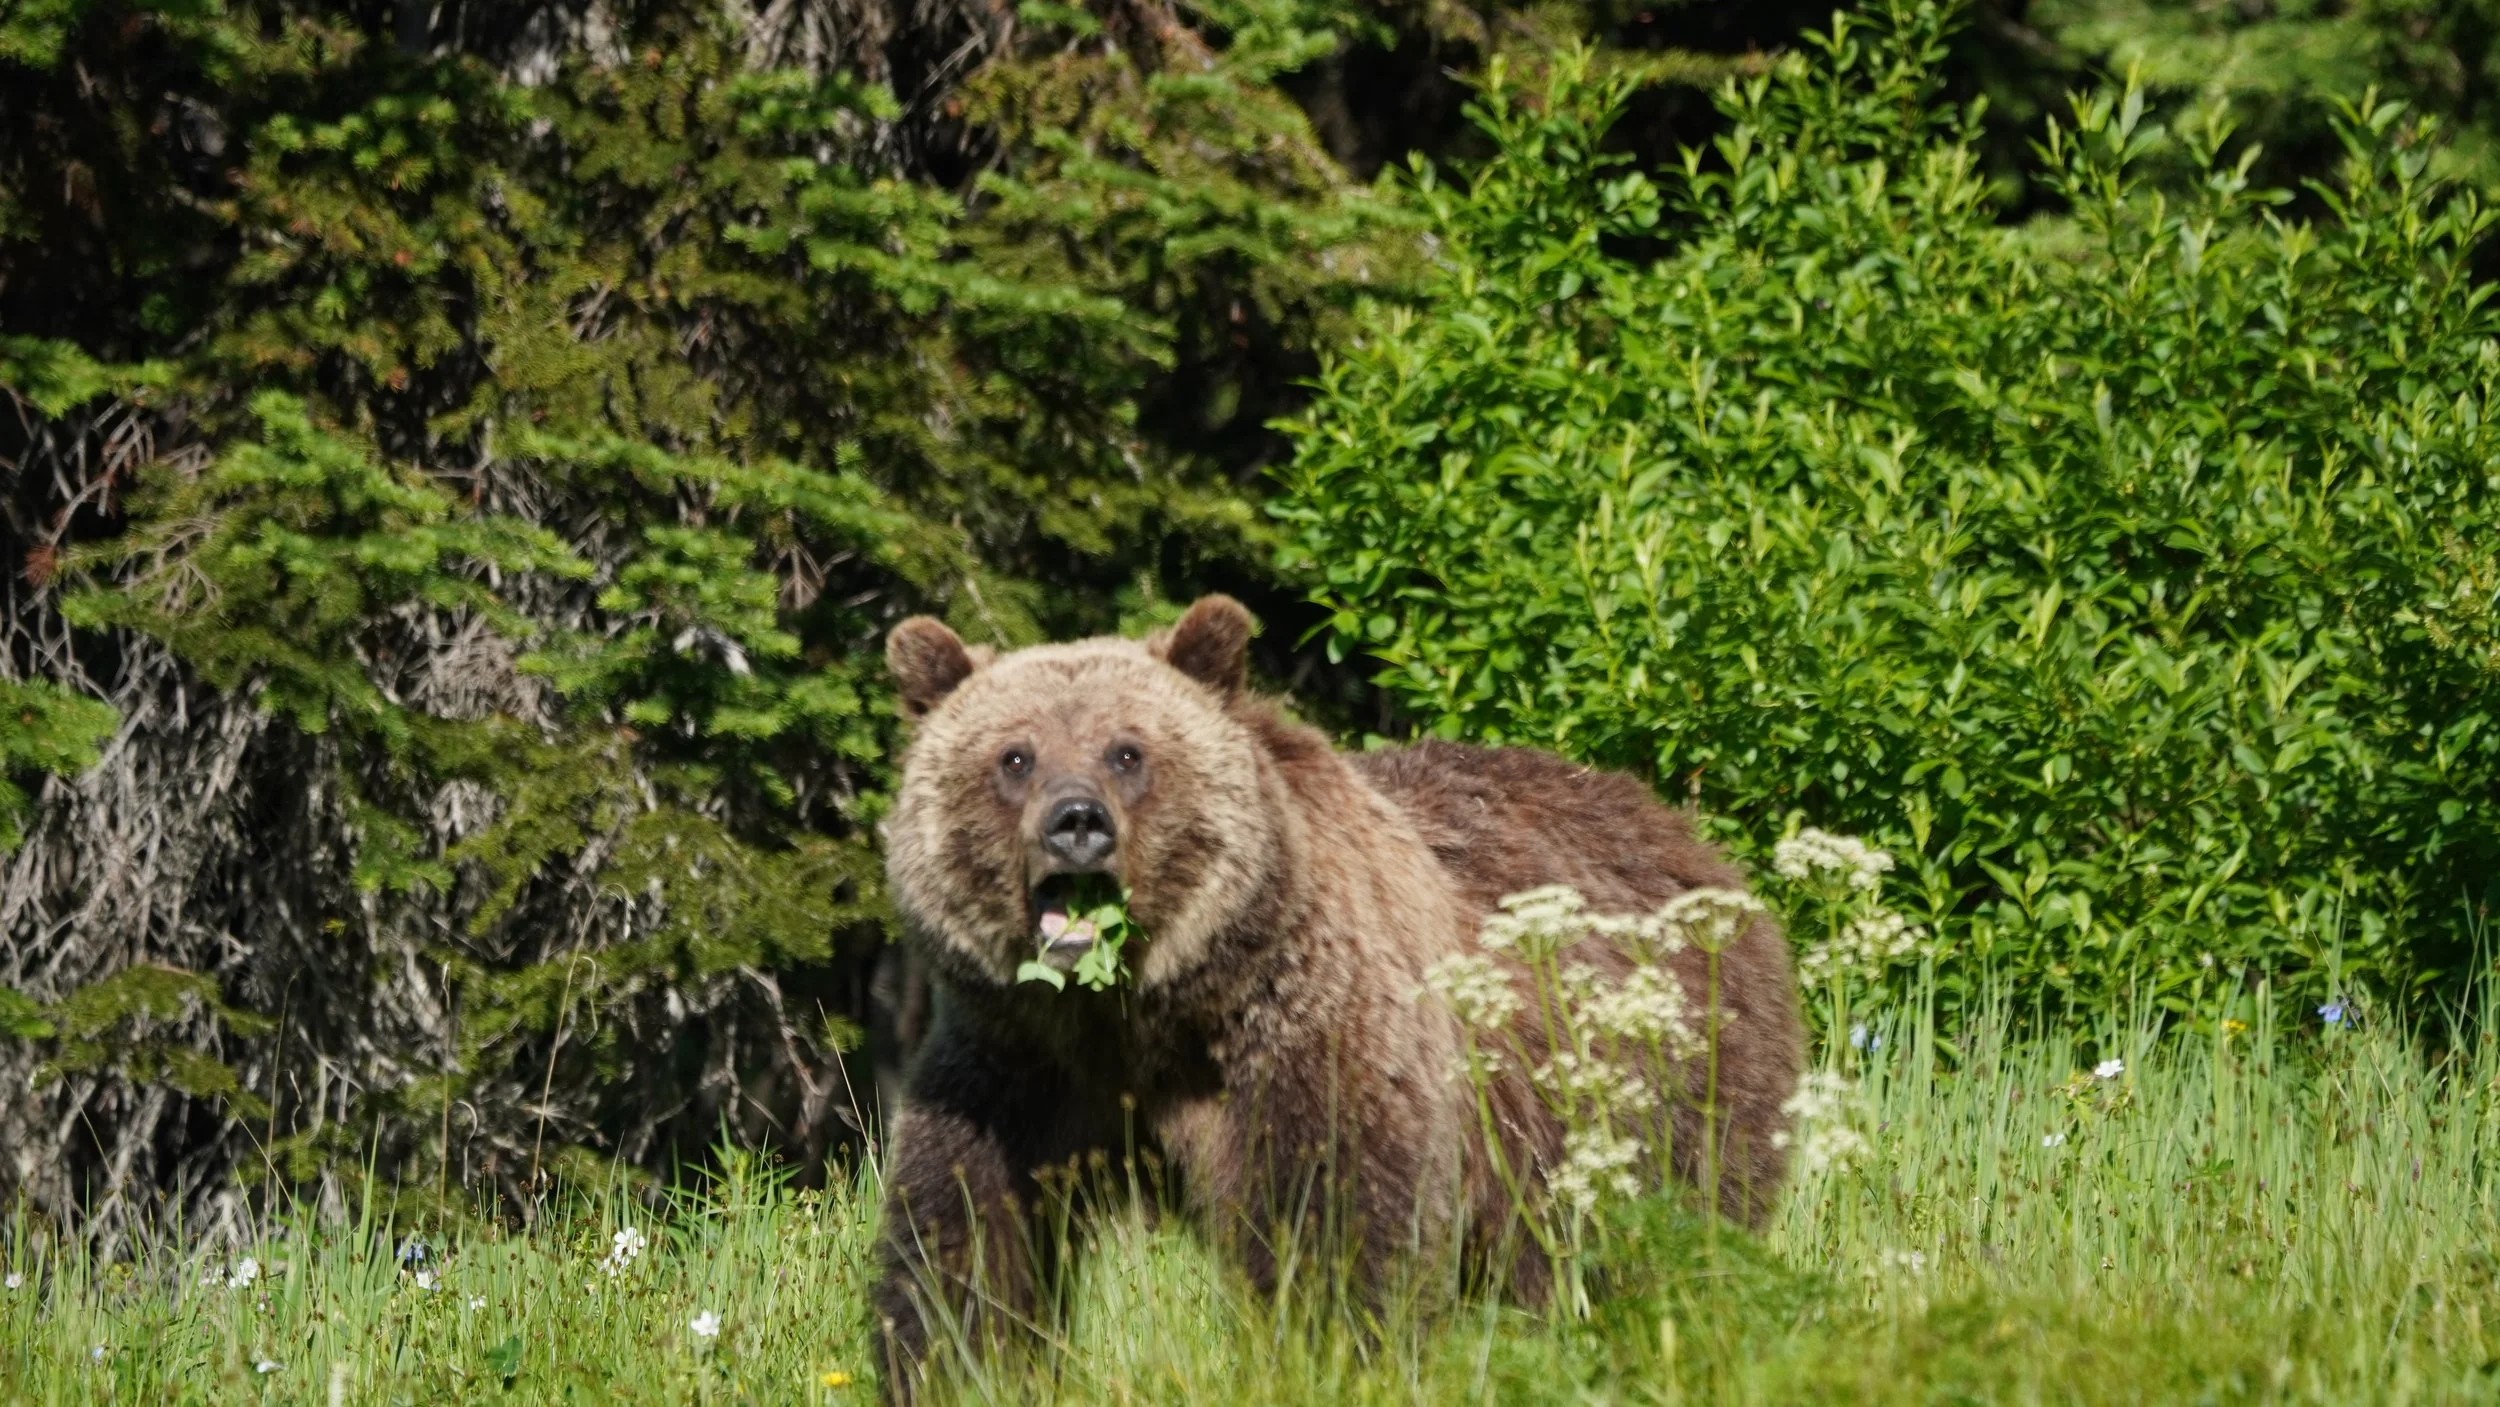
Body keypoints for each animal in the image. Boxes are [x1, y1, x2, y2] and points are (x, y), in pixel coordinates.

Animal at [873, 595, 1802, 1390]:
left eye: (1127, 751)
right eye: (1015, 756)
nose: (1076, 820)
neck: (1137, 1016)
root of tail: (1687, 836)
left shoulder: (1305, 1034)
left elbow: (1338, 1219)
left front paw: (1327, 1355)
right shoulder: (1014, 1069)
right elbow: (964, 1235)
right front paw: (954, 1362)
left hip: (1657, 1091)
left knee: (1651, 1231)